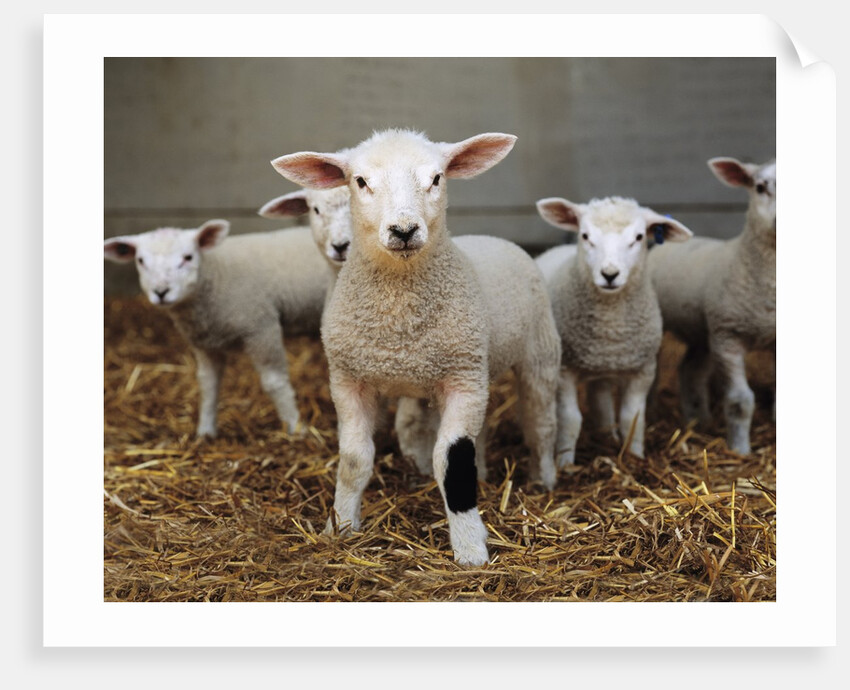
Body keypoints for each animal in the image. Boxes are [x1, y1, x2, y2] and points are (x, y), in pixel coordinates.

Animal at [103, 220, 333, 438]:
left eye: (188, 257)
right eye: (141, 261)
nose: (161, 292)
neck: (216, 271)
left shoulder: (261, 327)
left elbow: (273, 382)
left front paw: (296, 427)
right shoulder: (205, 342)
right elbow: (208, 385)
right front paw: (205, 432)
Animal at [270, 128, 562, 566]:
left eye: (437, 178)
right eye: (360, 181)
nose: (404, 230)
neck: (399, 321)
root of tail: (493, 237)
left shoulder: (461, 380)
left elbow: (453, 462)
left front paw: (470, 548)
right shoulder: (348, 380)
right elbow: (354, 459)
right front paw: (340, 527)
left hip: (537, 354)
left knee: (541, 423)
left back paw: (543, 480)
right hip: (477, 371)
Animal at [536, 196, 693, 464]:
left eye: (639, 237)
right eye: (585, 235)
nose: (610, 274)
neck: (611, 329)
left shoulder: (643, 370)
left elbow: (632, 418)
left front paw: (635, 457)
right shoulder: (564, 371)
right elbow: (570, 420)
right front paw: (565, 463)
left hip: (604, 369)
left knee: (601, 399)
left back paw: (608, 436)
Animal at [647, 157, 776, 454]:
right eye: (760, 187)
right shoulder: (727, 337)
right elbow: (740, 401)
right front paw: (740, 450)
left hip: (701, 330)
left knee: (690, 371)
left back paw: (698, 421)